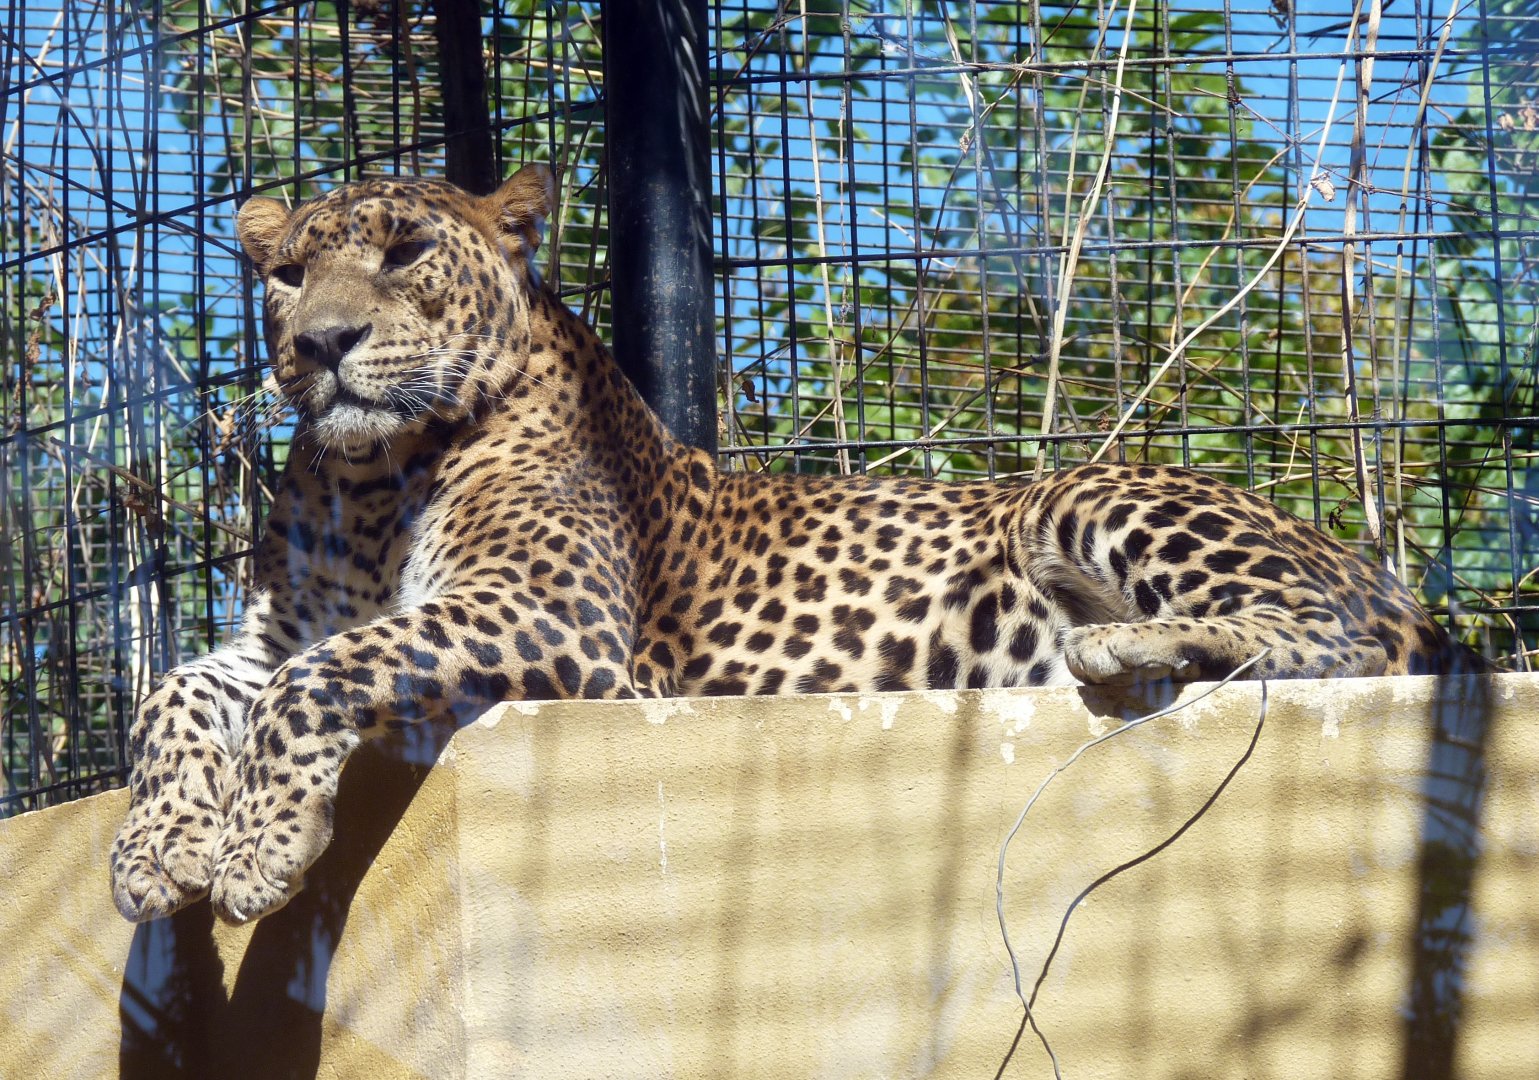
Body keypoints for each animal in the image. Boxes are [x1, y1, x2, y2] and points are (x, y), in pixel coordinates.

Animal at [110, 165, 1479, 926]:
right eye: (287, 275)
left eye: (403, 252)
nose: (320, 345)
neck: (371, 478)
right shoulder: (269, 634)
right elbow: (179, 687)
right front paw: (156, 849)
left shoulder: (554, 619)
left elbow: (316, 679)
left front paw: (254, 854)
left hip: (1086, 499)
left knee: (1345, 644)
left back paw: (1136, 644)